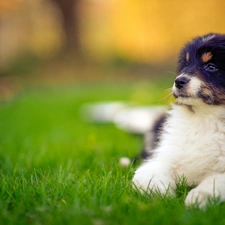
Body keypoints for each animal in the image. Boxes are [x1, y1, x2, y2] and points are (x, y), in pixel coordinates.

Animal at [132, 33, 225, 209]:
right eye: (186, 64)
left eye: (211, 67)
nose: (178, 81)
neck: (205, 118)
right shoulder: (164, 154)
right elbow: (149, 174)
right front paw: (160, 196)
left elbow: (216, 180)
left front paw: (198, 197)